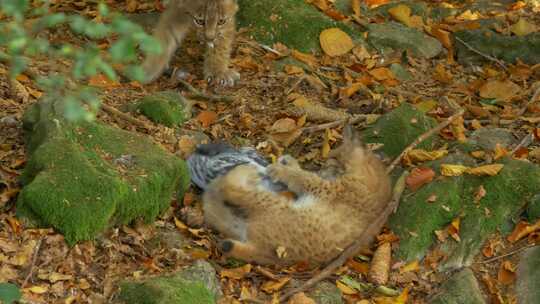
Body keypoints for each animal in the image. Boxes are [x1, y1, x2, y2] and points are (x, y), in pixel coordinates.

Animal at [202, 126, 392, 266]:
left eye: (331, 161)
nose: (321, 168)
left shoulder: (327, 188)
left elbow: (303, 177)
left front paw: (281, 170)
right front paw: (290, 163)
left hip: (276, 205)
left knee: (232, 191)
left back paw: (240, 172)